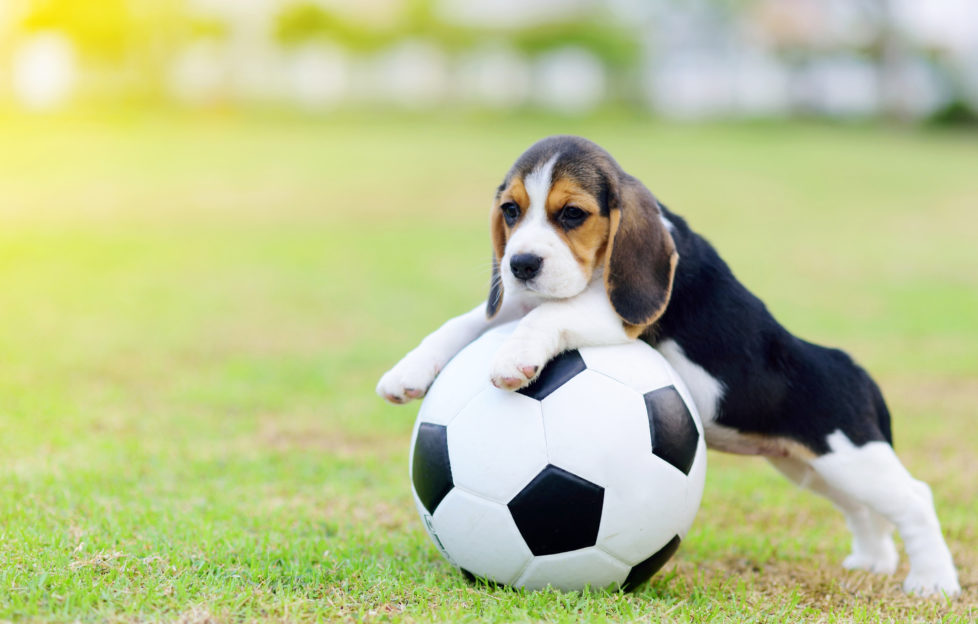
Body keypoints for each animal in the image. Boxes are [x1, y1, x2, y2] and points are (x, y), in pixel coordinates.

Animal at [376, 135, 960, 596]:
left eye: (572, 214)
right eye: (511, 212)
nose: (519, 264)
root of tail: (857, 371)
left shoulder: (615, 312)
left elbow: (551, 315)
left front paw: (515, 357)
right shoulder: (524, 299)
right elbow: (467, 321)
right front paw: (408, 371)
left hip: (851, 456)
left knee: (914, 499)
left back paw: (932, 581)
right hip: (812, 466)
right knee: (864, 511)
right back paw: (873, 561)